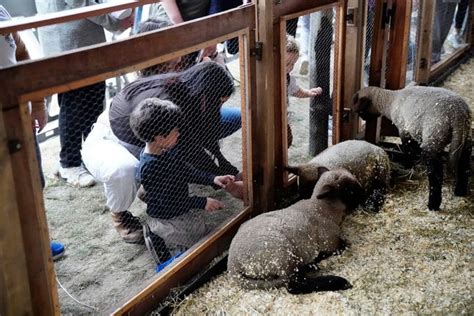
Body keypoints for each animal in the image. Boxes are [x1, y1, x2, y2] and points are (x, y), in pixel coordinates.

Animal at [228, 168, 362, 294]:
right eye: (348, 190)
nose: (363, 194)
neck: (322, 209)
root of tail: (232, 265)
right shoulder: (330, 242)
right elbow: (342, 246)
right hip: (283, 255)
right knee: (295, 285)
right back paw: (338, 281)